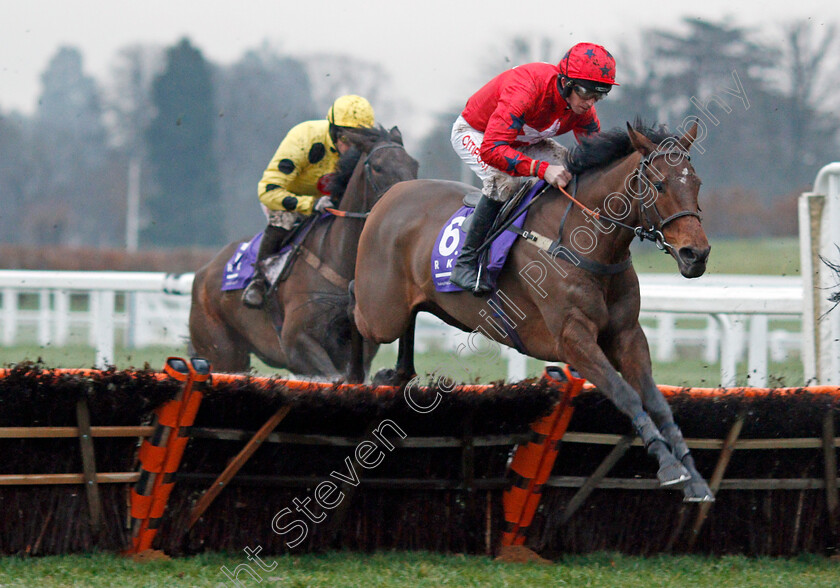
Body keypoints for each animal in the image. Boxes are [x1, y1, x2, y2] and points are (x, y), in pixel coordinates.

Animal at [188, 126, 416, 378]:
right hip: (222, 352)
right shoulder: (296, 343)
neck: (338, 258)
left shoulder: (363, 347)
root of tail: (204, 272)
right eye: (377, 166)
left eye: (414, 164)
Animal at [352, 120, 712, 500]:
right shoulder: (573, 338)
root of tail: (392, 194)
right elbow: (626, 394)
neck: (586, 241)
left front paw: (694, 477)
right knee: (353, 303)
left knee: (411, 317)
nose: (696, 254)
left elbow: (656, 401)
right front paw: (670, 466)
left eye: (697, 183)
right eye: (659, 185)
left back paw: (398, 373)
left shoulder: (627, 334)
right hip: (380, 313)